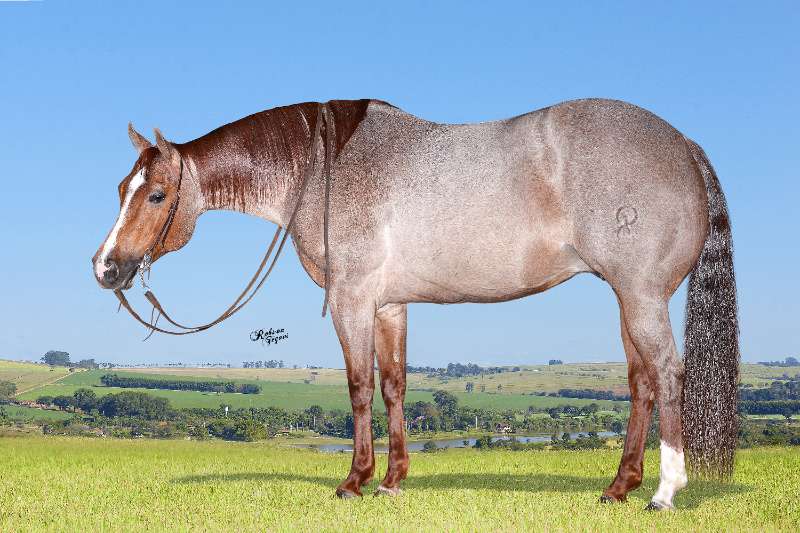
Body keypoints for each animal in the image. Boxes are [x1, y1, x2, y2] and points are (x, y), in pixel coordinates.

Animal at [92, 98, 739, 510]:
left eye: (156, 194)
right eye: (121, 189)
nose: (105, 268)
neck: (323, 168)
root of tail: (683, 146)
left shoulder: (351, 299)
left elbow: (358, 386)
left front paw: (355, 481)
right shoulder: (389, 306)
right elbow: (394, 385)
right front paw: (392, 481)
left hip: (642, 296)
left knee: (669, 375)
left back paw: (664, 493)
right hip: (628, 299)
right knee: (642, 383)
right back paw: (618, 487)